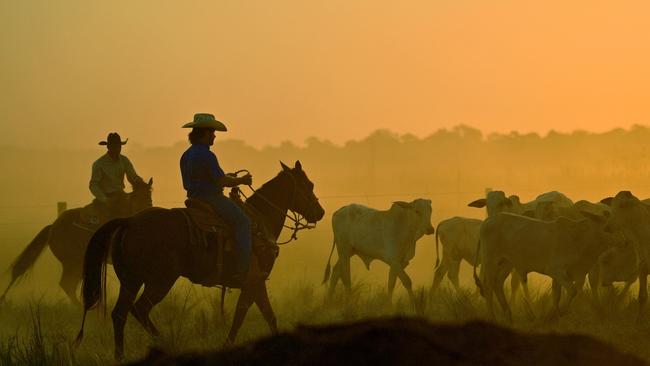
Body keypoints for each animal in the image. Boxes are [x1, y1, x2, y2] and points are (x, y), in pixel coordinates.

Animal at [0, 178, 153, 304]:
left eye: (149, 196)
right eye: (136, 198)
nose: (147, 211)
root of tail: (52, 227)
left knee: (69, 284)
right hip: (73, 262)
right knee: (67, 284)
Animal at [75, 161, 324, 360]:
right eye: (309, 185)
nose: (320, 212)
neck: (260, 221)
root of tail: (130, 221)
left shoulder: (254, 283)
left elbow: (260, 315)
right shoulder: (254, 281)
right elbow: (250, 315)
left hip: (131, 280)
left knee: (120, 314)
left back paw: (120, 355)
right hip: (160, 281)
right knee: (140, 309)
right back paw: (164, 344)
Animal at [474, 210, 620, 322]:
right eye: (607, 227)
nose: (623, 241)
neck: (579, 238)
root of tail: (488, 220)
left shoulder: (568, 275)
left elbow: (557, 295)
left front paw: (553, 315)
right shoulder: (556, 270)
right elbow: (572, 291)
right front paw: (560, 312)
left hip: (506, 263)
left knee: (497, 284)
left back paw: (509, 315)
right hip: (490, 261)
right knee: (488, 286)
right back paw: (492, 317)